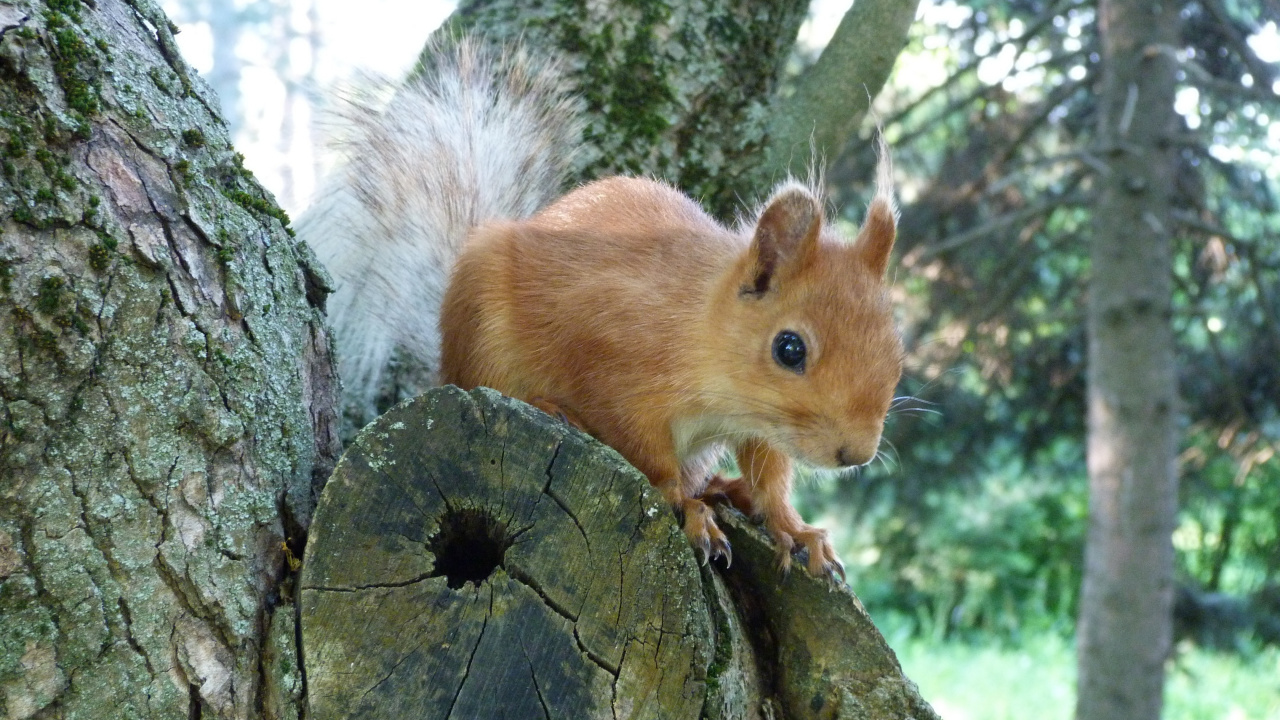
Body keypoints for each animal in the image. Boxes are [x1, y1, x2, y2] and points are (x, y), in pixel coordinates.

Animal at [300, 36, 903, 579]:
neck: (702, 334)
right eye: (789, 348)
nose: (856, 454)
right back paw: (553, 410)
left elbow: (769, 475)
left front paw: (793, 527)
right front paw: (687, 507)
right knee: (490, 384)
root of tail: (443, 360)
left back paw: (722, 488)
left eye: (897, 351)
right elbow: (646, 454)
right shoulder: (611, 366)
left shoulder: (762, 426)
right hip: (482, 342)